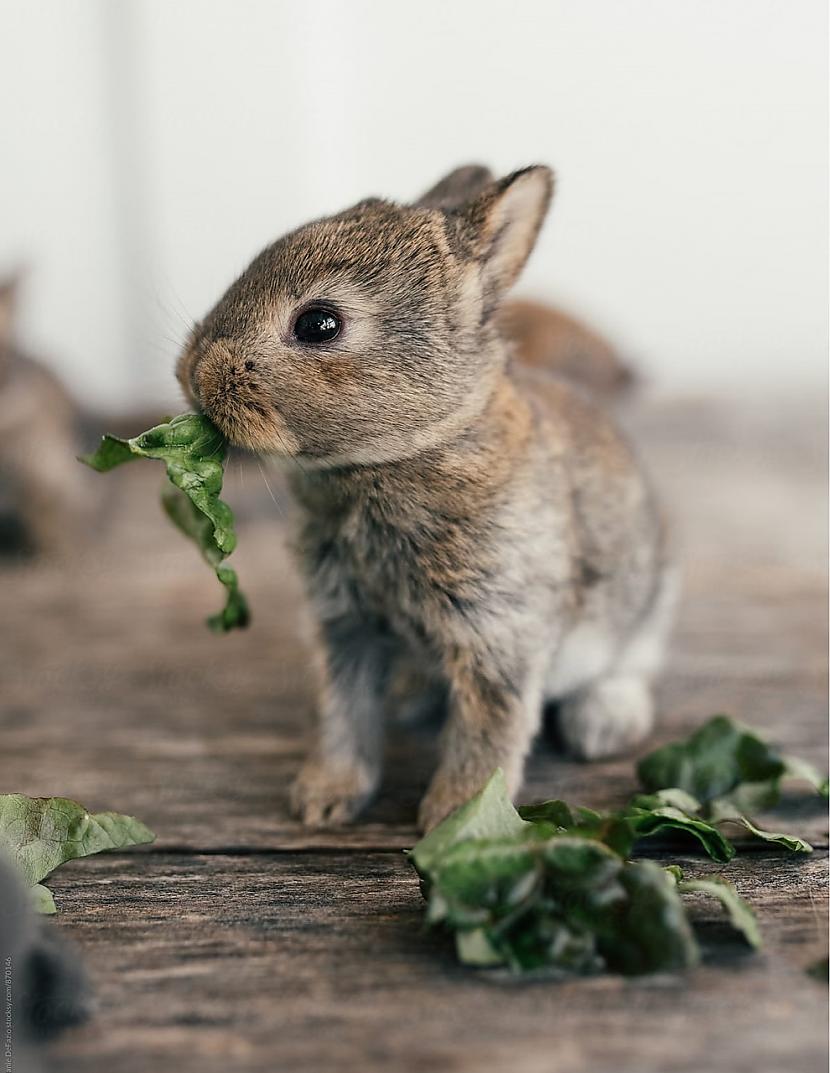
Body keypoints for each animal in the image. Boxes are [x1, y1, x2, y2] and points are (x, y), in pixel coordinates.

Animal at [176, 163, 677, 828]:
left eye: (319, 323)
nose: (193, 373)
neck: (398, 457)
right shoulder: (347, 626)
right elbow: (344, 713)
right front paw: (324, 799)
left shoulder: (497, 631)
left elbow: (488, 734)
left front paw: (456, 819)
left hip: (645, 607)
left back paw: (603, 724)